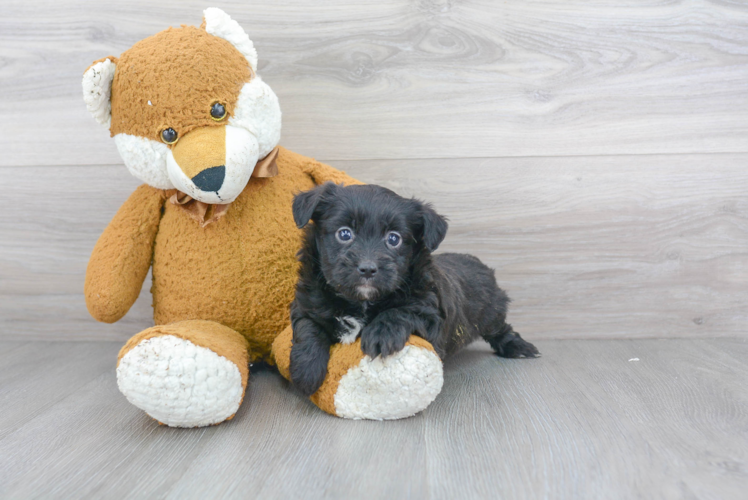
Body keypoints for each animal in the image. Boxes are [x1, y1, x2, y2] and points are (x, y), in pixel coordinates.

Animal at [286, 182, 536, 396]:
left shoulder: (432, 317)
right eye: (344, 233)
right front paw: (305, 369)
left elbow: (402, 311)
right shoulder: (307, 305)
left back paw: (519, 347)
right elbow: (308, 328)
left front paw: (381, 333)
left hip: (491, 312)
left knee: (501, 329)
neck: (361, 301)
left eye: (393, 239)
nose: (367, 269)